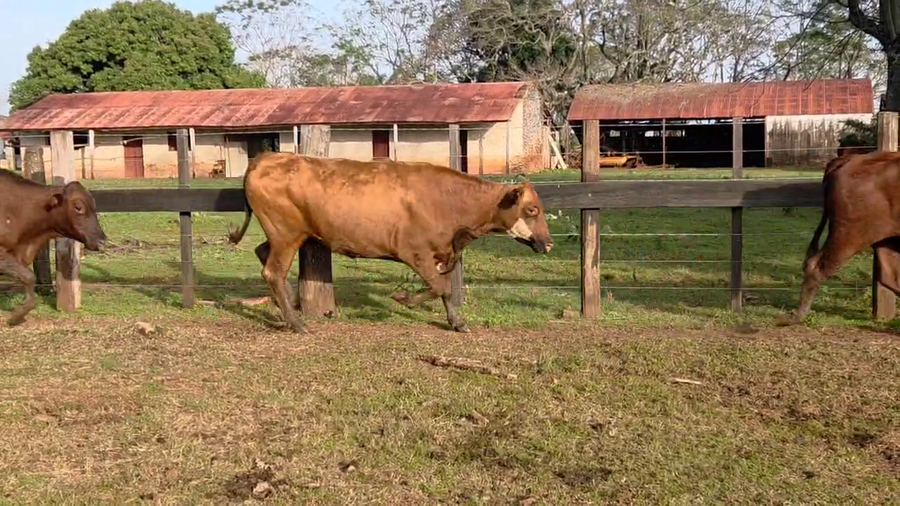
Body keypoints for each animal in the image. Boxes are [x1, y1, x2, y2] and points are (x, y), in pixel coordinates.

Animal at [227, 152, 554, 334]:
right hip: (286, 233)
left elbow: (445, 290)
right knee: (273, 271)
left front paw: (456, 322)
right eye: (532, 210)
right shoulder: (415, 252)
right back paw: (297, 323)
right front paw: (403, 298)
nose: (549, 243)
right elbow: (440, 287)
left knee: (262, 253)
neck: (447, 201)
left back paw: (287, 307)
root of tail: (265, 158)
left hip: (282, 235)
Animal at [776, 150, 900, 326]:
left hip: (885, 239)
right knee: (815, 266)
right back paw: (795, 317)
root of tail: (852, 159)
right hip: (849, 235)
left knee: (890, 275)